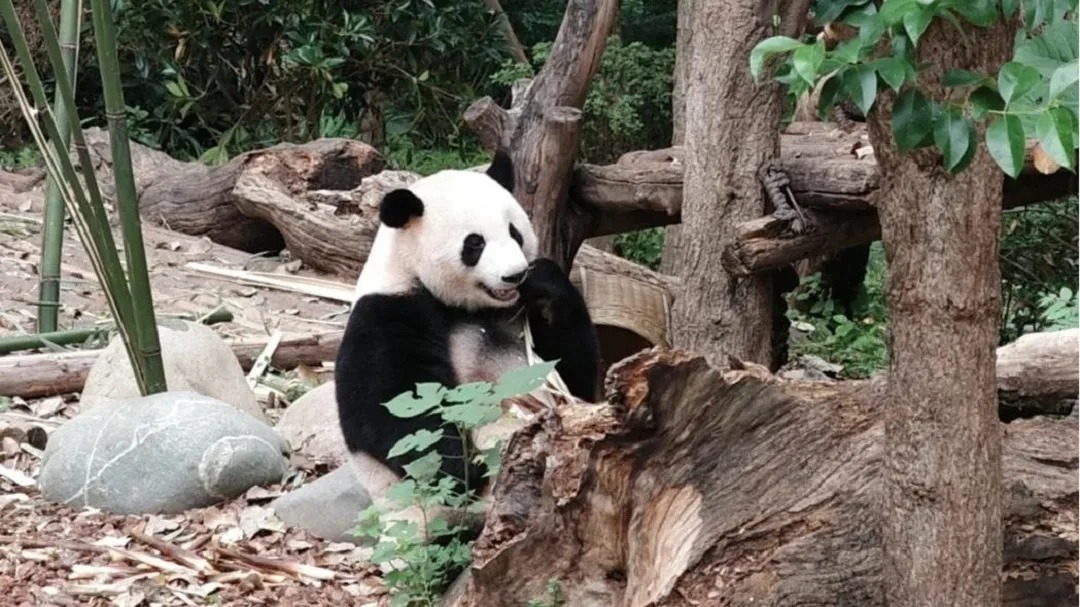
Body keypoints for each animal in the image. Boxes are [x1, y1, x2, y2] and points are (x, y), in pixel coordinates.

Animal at [335, 150, 600, 533]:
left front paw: (544, 282)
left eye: (515, 232)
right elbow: (392, 407)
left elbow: (574, 384)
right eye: (475, 243)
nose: (515, 275)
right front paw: (466, 471)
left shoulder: (522, 317)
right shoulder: (387, 310)